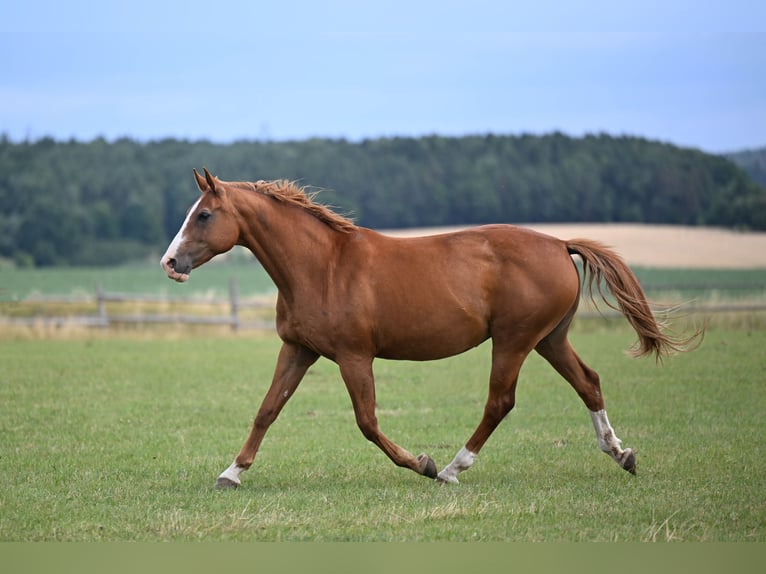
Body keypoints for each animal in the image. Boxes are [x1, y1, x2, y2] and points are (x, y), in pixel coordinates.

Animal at [161, 168, 700, 488]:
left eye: (203, 214)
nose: (170, 263)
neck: (323, 266)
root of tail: (558, 244)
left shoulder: (354, 356)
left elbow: (367, 422)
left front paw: (422, 463)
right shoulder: (298, 350)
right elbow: (267, 410)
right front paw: (232, 472)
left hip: (514, 341)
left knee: (500, 402)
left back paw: (454, 468)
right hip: (550, 339)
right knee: (588, 382)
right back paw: (621, 453)